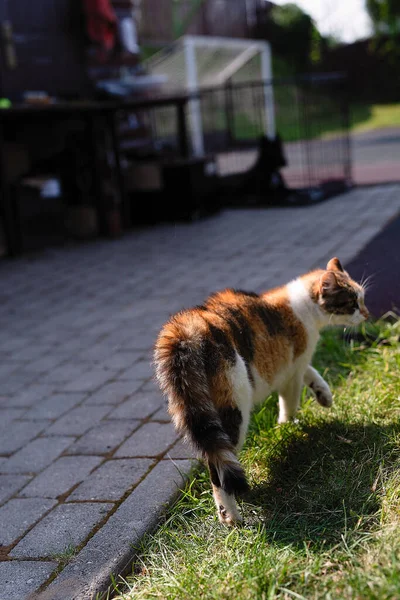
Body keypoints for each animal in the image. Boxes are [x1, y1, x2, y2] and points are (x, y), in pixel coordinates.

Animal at [153, 258, 368, 524]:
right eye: (352, 303)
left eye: (362, 299)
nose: (367, 314)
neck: (305, 305)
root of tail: (186, 329)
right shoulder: (293, 369)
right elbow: (290, 400)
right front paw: (287, 426)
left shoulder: (293, 365)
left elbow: (310, 371)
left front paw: (323, 394)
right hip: (234, 408)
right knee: (219, 467)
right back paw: (232, 516)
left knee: (213, 457)